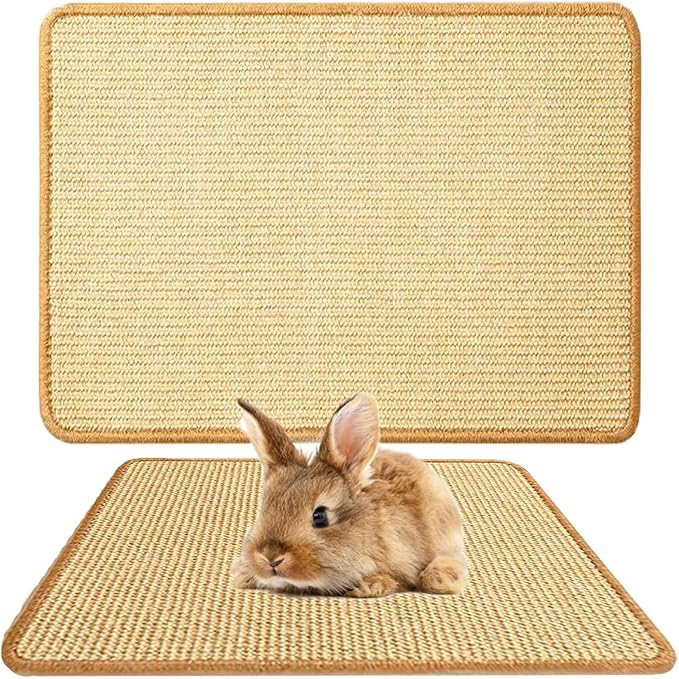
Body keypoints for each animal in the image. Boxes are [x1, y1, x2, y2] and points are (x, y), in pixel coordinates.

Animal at [230, 392, 468, 597]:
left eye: (320, 516)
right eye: (263, 510)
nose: (270, 557)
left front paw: (370, 586)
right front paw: (242, 575)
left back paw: (440, 578)